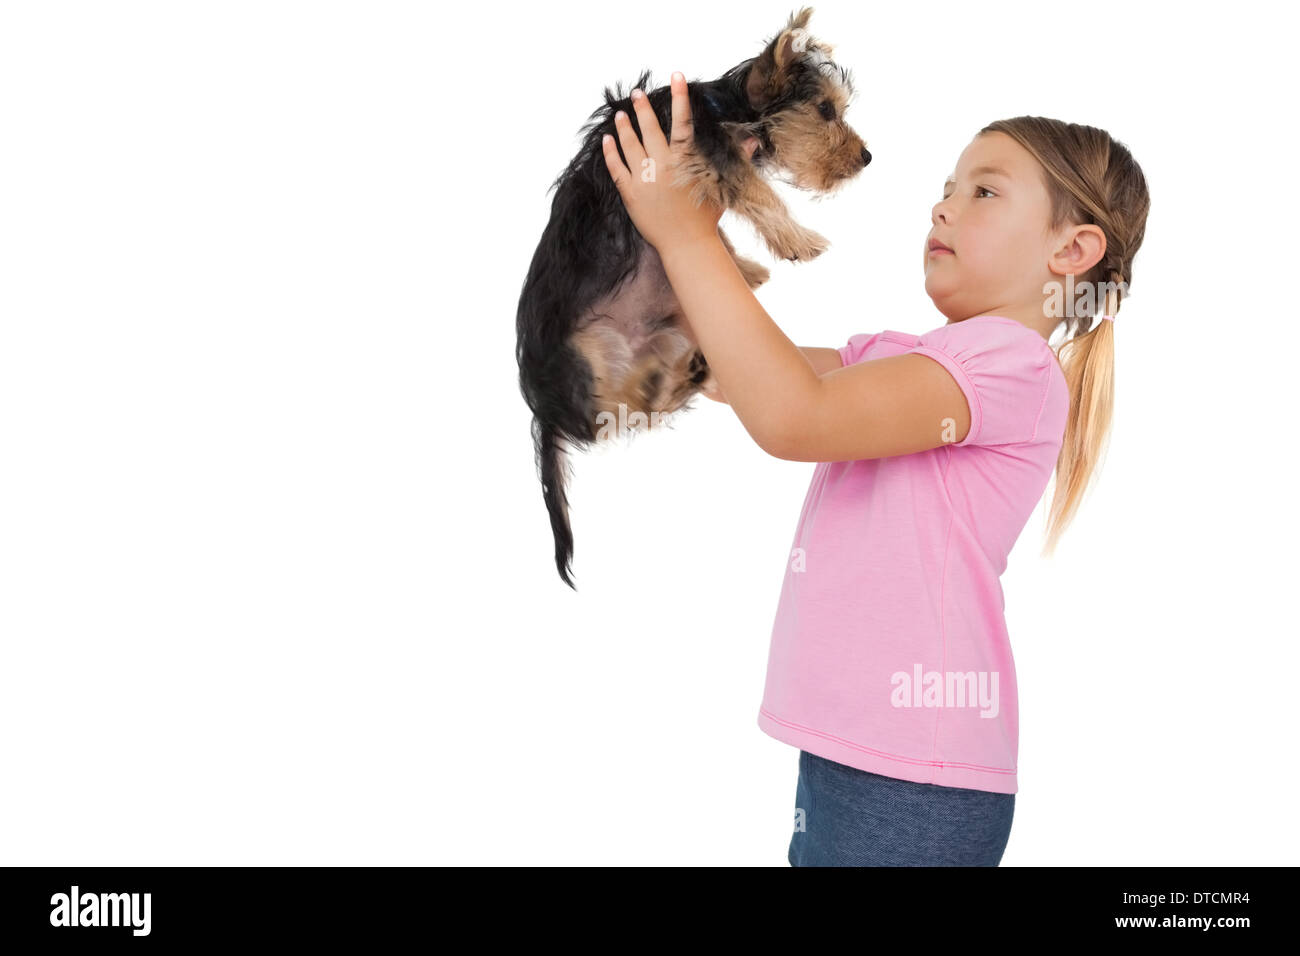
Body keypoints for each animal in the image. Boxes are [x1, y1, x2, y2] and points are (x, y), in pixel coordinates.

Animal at [512, 7, 868, 587]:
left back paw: (692, 371)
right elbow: (756, 190)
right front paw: (797, 240)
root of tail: (543, 410)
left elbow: (721, 228)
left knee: (646, 403)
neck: (727, 105)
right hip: (587, 354)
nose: (867, 157)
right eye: (824, 110)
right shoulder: (709, 151)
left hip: (672, 330)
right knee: (613, 417)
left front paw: (746, 267)